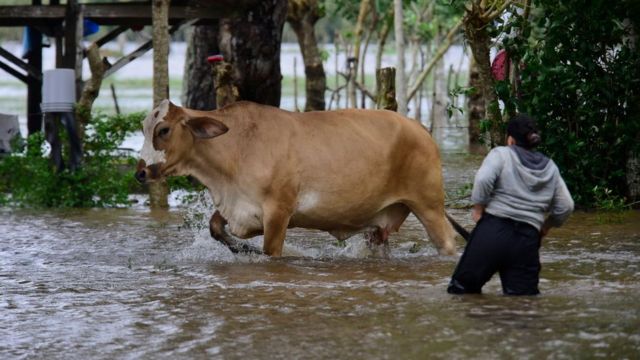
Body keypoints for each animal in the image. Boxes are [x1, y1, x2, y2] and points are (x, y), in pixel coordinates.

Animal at [135, 100, 468, 258]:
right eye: (144, 128)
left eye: (163, 129)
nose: (141, 172)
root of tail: (420, 129)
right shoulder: (238, 208)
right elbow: (216, 228)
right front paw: (242, 250)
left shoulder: (278, 212)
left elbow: (271, 252)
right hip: (380, 225)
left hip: (429, 206)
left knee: (448, 244)